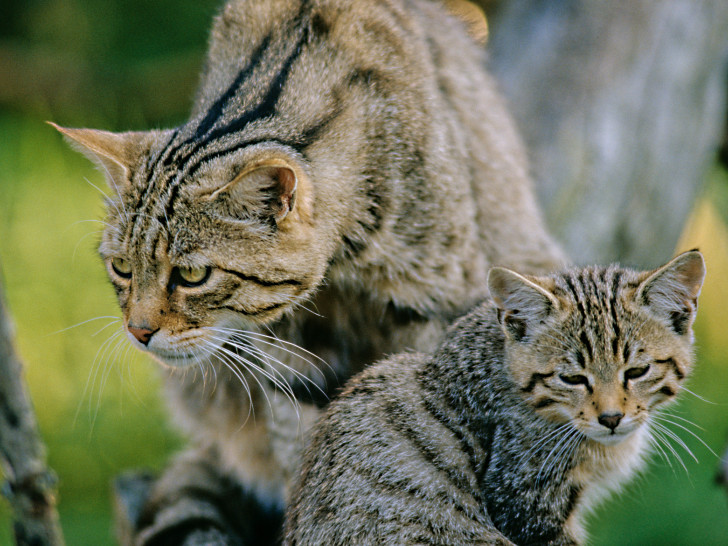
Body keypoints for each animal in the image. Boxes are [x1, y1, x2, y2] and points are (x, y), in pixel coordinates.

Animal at [55, 0, 564, 540]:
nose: (138, 331)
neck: (343, 260)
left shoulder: (434, 309)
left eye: (192, 276)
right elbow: (302, 455)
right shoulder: (287, 360)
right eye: (122, 268)